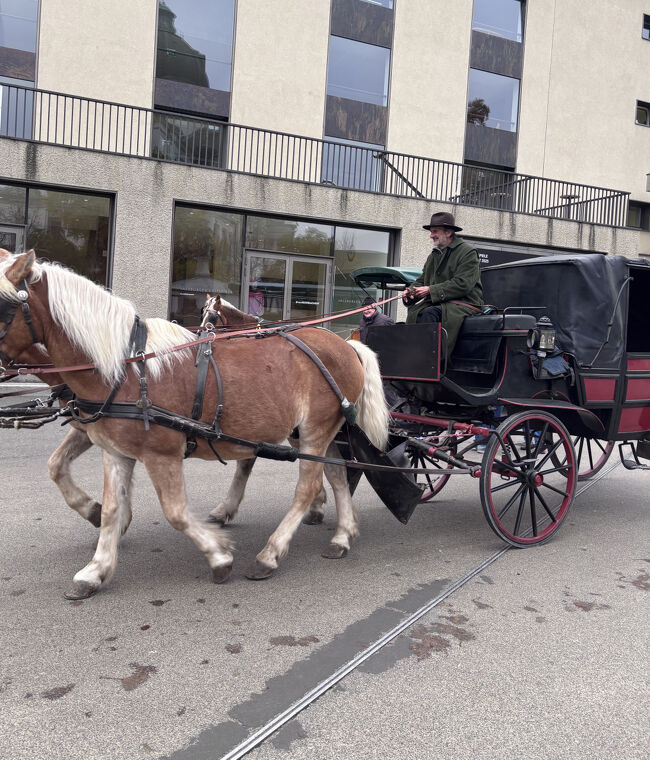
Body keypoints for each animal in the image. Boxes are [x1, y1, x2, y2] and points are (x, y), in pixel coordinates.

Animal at [0, 251, 389, 598]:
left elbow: (176, 513)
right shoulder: (114, 451)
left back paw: (270, 554)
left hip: (314, 429)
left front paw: (218, 556)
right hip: (314, 431)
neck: (127, 368)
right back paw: (342, 534)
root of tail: (347, 345)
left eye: (4, 308)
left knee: (307, 487)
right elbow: (109, 508)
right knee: (336, 472)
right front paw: (95, 569)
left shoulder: (162, 454)